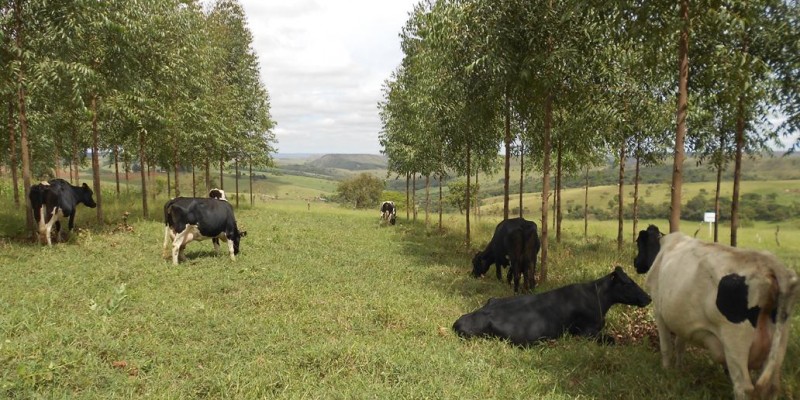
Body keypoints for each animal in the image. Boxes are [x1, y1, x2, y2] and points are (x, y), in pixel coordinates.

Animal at [636, 225, 796, 400]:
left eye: (638, 243)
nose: (635, 262)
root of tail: (768, 263)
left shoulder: (659, 312)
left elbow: (666, 347)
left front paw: (666, 371)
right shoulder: (682, 320)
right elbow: (680, 345)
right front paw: (678, 369)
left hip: (735, 343)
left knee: (742, 387)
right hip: (779, 345)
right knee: (772, 387)